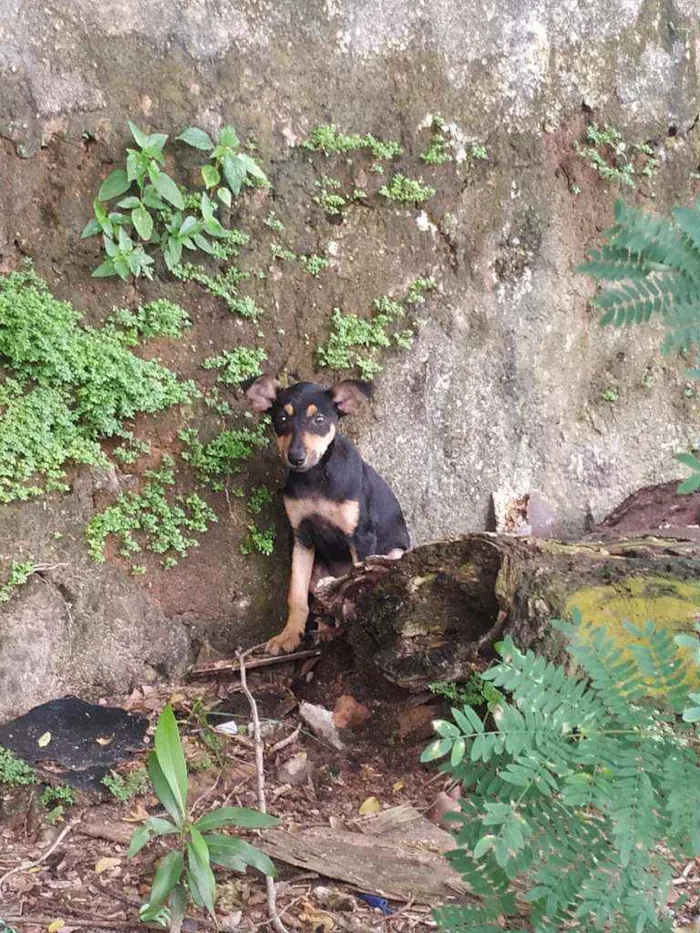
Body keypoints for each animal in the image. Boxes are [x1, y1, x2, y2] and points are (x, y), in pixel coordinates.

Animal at [246, 374, 410, 656]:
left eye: (319, 420)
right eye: (282, 418)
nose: (296, 458)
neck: (316, 479)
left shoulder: (360, 536)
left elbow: (358, 586)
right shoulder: (301, 537)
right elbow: (296, 594)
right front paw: (289, 635)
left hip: (393, 555)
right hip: (319, 576)